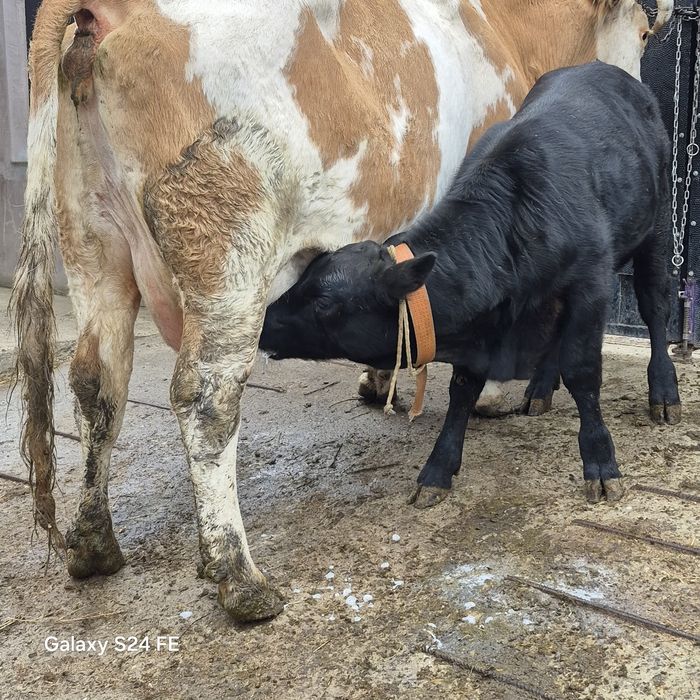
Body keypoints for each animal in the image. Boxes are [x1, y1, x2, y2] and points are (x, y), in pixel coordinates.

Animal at [260, 61, 682, 508]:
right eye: (304, 278)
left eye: (325, 304)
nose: (264, 320)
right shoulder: (481, 326)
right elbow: (462, 390)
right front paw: (438, 469)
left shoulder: (591, 286)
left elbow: (583, 372)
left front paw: (601, 464)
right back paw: (540, 388)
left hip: (657, 230)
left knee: (655, 308)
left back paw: (664, 392)